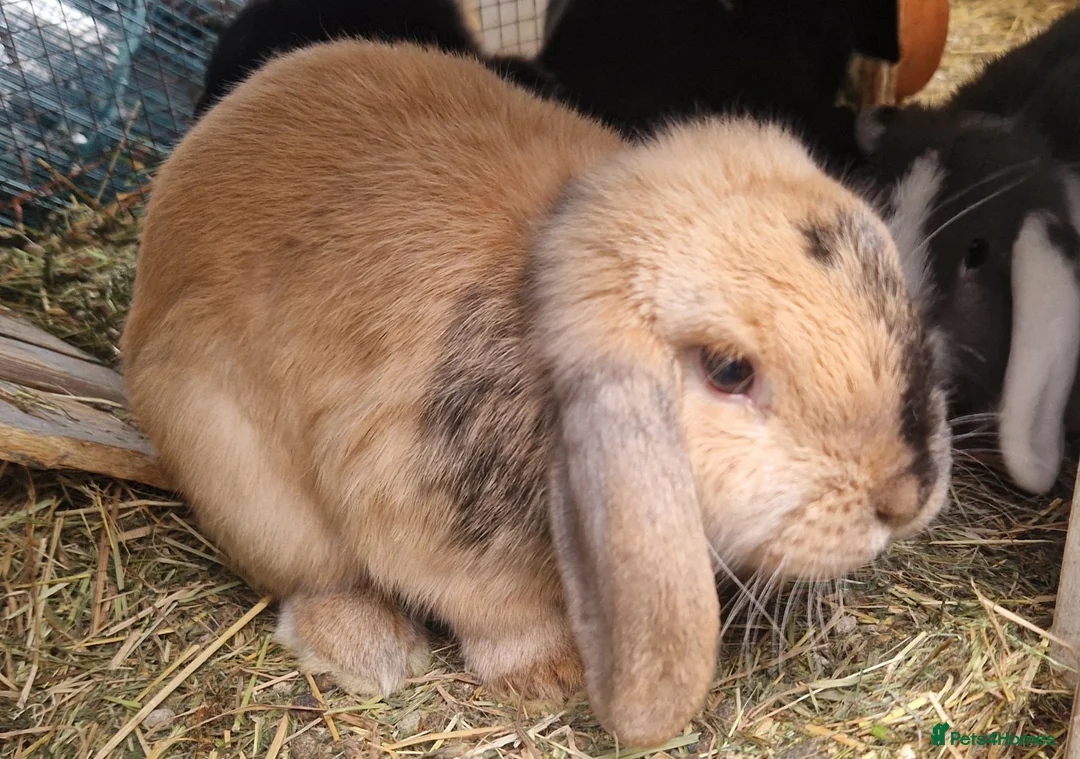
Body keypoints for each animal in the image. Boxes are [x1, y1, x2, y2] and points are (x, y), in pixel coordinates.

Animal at [122, 40, 952, 748]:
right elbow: (496, 608)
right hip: (246, 484)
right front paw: (551, 676)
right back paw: (372, 649)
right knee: (313, 578)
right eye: (727, 370)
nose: (904, 498)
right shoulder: (420, 520)